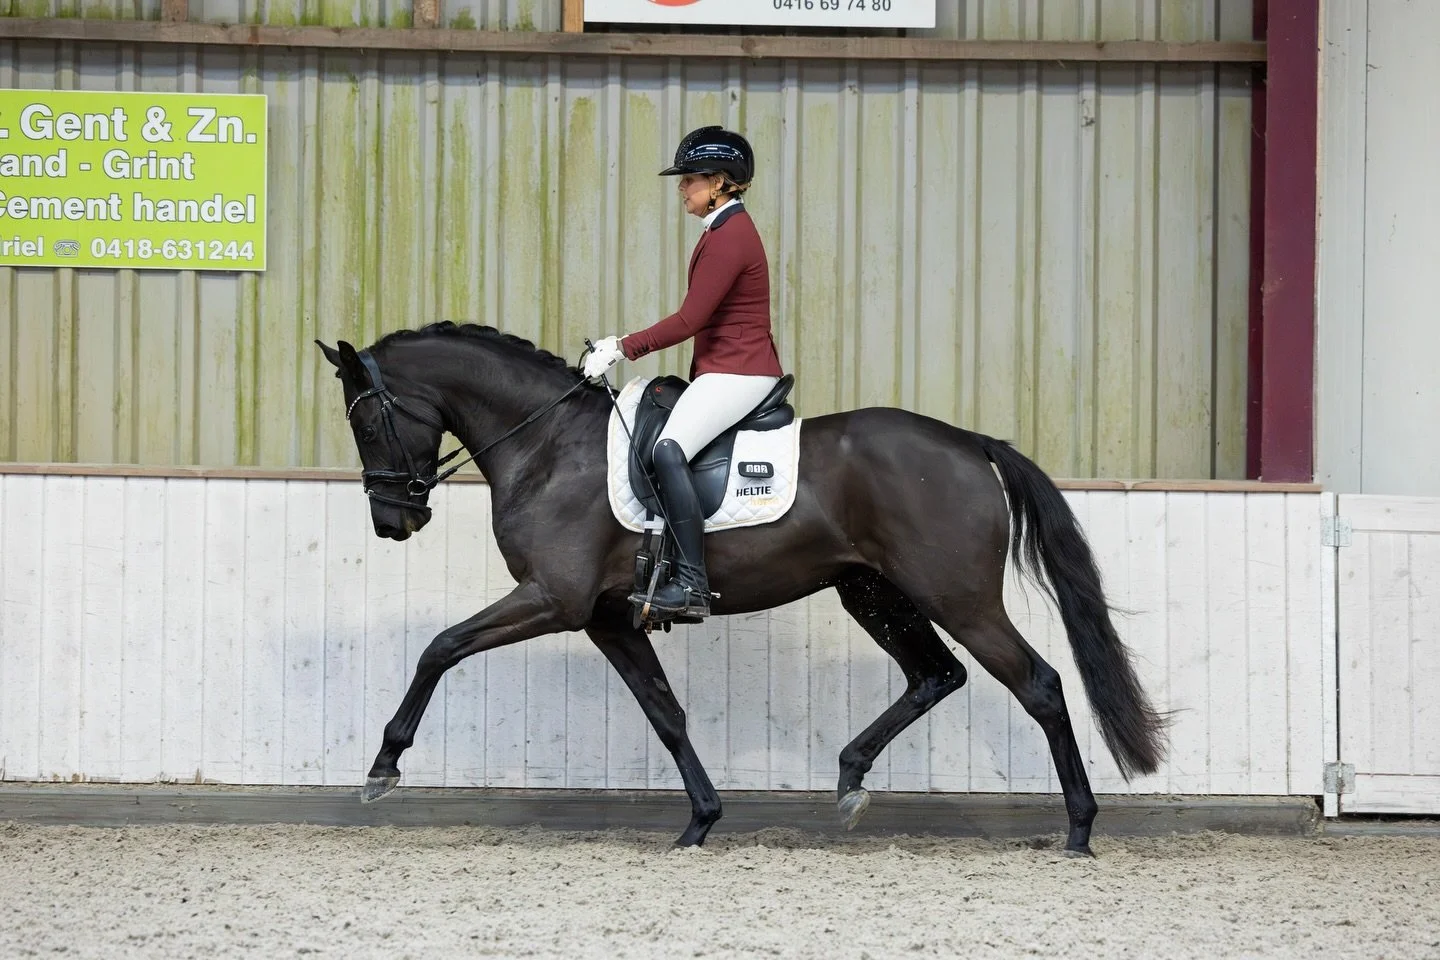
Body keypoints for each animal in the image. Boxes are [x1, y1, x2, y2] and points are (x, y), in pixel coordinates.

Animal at [315, 321, 1169, 857]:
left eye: (366, 421)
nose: (393, 521)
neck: (549, 444)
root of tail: (969, 443)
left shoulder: (553, 599)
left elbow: (440, 647)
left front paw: (382, 767)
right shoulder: (605, 617)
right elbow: (664, 712)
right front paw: (701, 821)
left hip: (957, 597)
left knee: (1040, 684)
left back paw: (1080, 830)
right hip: (874, 593)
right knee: (937, 674)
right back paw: (850, 778)